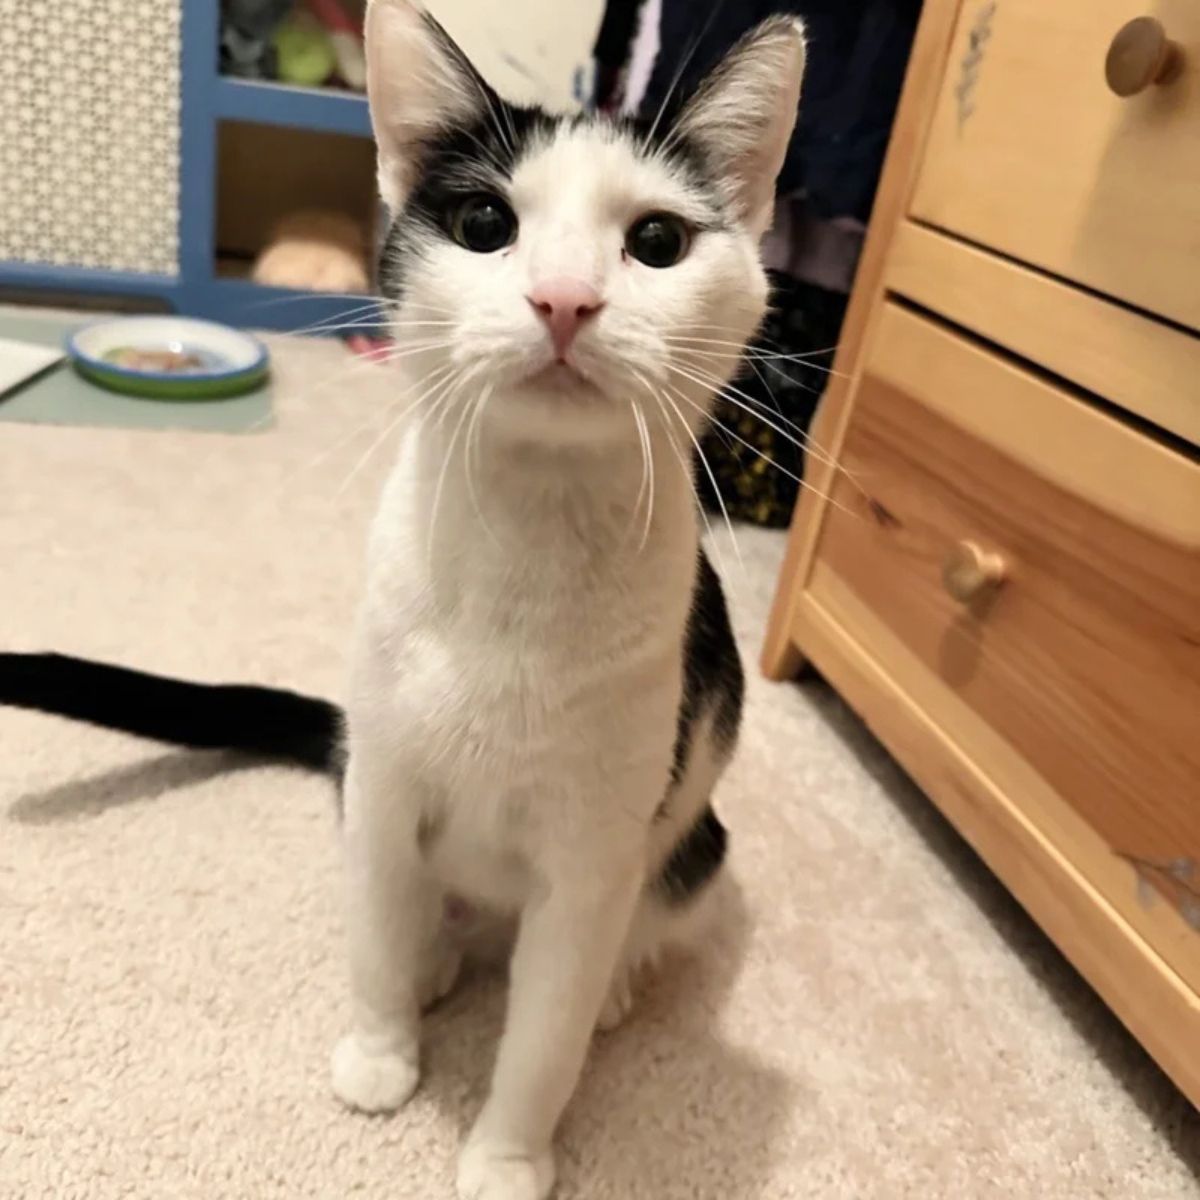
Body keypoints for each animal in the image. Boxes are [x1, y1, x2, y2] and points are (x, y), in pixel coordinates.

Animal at [4, 4, 806, 1195]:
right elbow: (377, 939)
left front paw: (509, 1155)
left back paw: (615, 984)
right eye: (484, 223)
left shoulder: (591, 855)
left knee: (641, 920)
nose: (564, 299)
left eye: (657, 243)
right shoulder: (381, 787)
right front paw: (382, 1055)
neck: (527, 544)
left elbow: (544, 1033)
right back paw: (436, 958)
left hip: (692, 842)